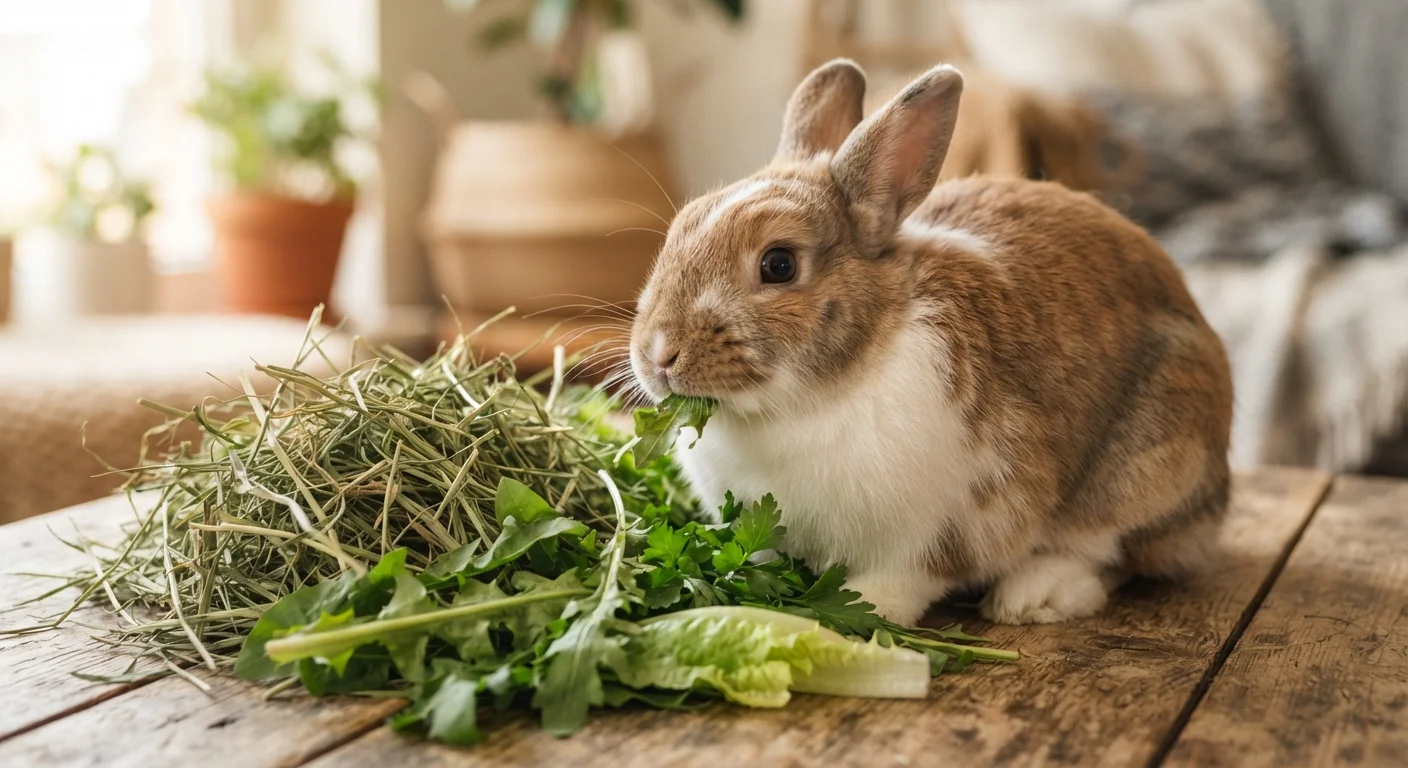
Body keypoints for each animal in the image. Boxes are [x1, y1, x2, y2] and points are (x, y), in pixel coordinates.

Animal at [627, 59, 1233, 626]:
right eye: (679, 230)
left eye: (778, 265)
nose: (659, 355)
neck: (803, 403)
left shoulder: (938, 532)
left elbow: (908, 578)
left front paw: (864, 610)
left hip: (1152, 462)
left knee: (1116, 551)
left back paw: (1036, 595)